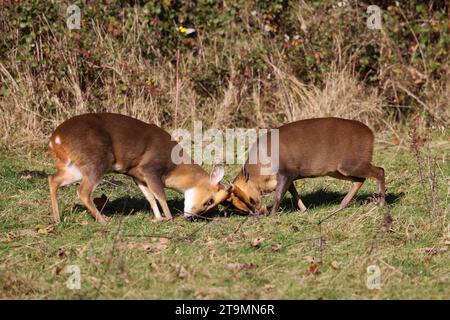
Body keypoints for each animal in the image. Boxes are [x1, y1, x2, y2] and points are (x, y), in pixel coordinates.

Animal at [48, 114, 230, 224]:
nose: (191, 216)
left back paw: (57, 219)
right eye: (209, 201)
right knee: (83, 191)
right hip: (97, 160)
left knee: (53, 179)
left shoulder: (136, 175)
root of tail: (55, 139)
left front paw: (158, 218)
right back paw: (104, 220)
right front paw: (169, 218)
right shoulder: (150, 168)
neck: (174, 167)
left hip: (74, 168)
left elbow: (150, 197)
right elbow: (160, 195)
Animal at [230, 117, 384, 215]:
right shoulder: (289, 177)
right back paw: (342, 205)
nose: (259, 213)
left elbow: (279, 195)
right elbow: (294, 193)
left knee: (380, 171)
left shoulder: (287, 171)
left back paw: (381, 203)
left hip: (350, 163)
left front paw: (272, 214)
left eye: (250, 199)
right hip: (338, 170)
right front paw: (304, 210)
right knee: (360, 180)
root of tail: (371, 134)